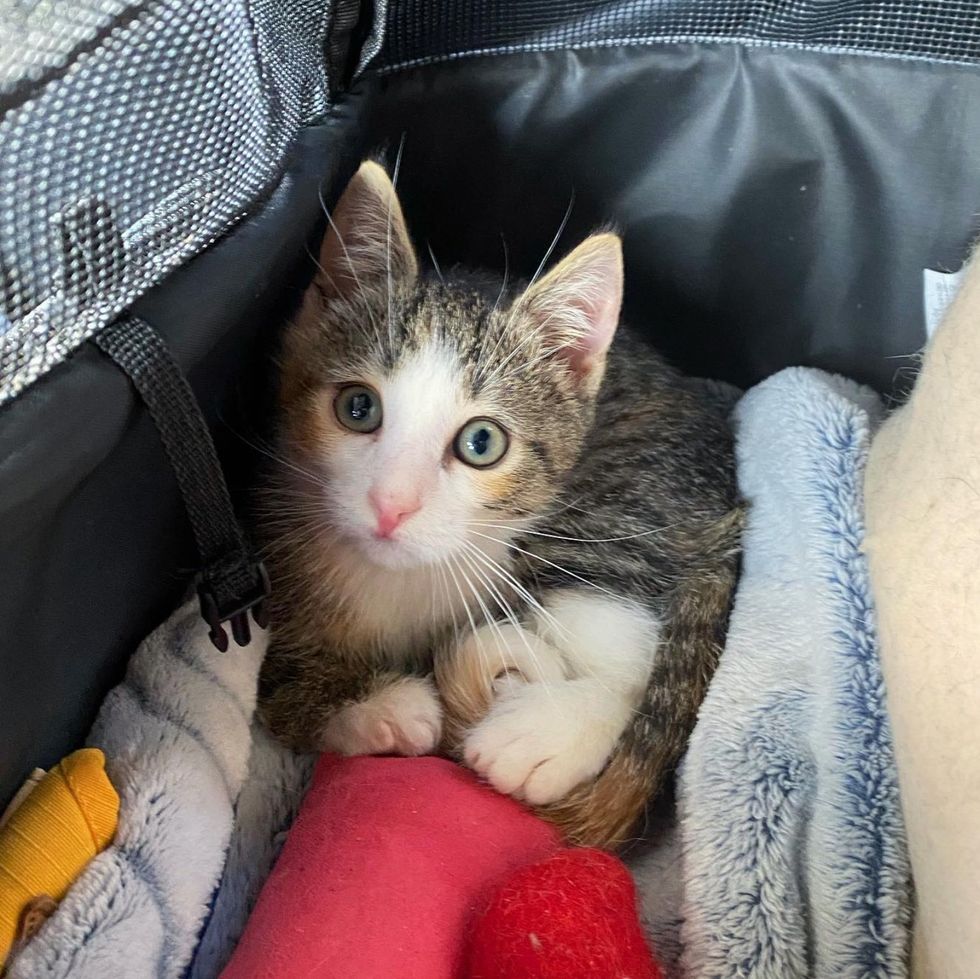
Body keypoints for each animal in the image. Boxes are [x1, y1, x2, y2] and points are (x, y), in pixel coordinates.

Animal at [256, 161, 740, 848]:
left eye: (481, 443)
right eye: (358, 408)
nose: (390, 505)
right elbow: (277, 691)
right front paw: (382, 708)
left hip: (612, 510)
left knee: (634, 657)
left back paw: (549, 731)